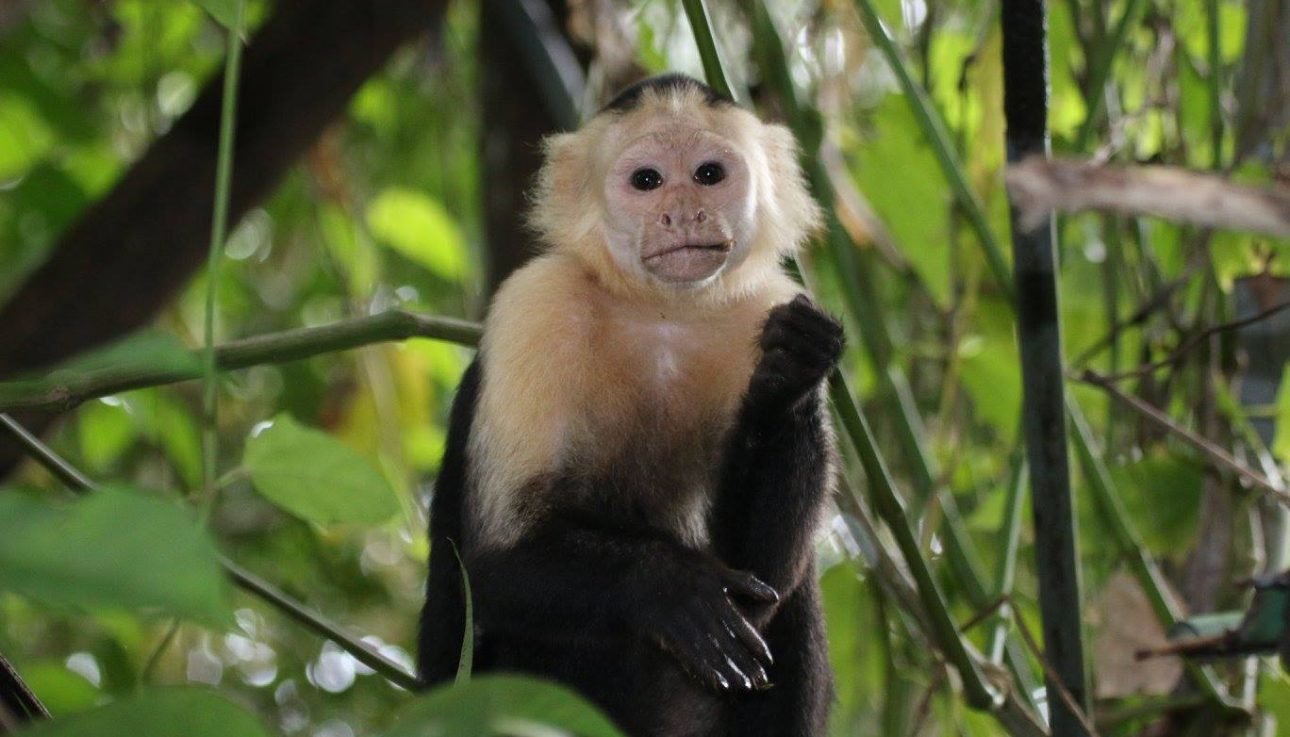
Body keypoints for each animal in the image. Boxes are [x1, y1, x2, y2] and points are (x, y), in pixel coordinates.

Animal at [417, 73, 846, 737]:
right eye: (647, 180)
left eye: (708, 174)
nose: (684, 212)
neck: (662, 310)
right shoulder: (535, 307)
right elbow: (492, 561)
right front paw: (668, 585)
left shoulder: (768, 300)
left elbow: (764, 578)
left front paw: (787, 379)